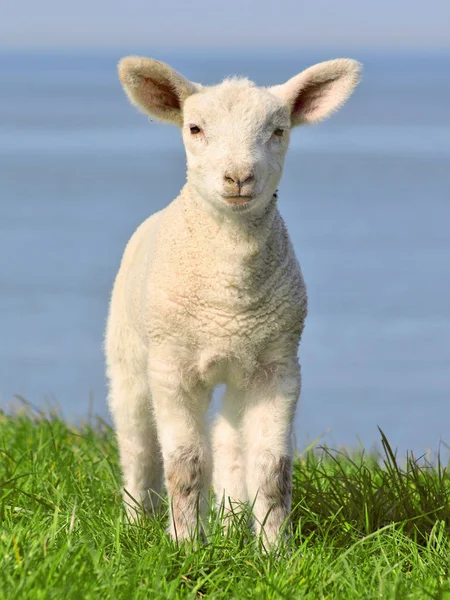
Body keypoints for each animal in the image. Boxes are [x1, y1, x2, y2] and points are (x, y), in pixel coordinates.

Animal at [103, 54, 360, 548]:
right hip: (128, 355)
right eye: (195, 128)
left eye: (279, 130)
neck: (229, 301)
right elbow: (184, 464)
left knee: (226, 439)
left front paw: (274, 550)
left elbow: (271, 468)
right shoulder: (172, 368)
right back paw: (135, 521)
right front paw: (185, 545)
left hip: (239, 373)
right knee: (137, 442)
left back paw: (228, 522)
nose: (239, 177)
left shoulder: (277, 367)